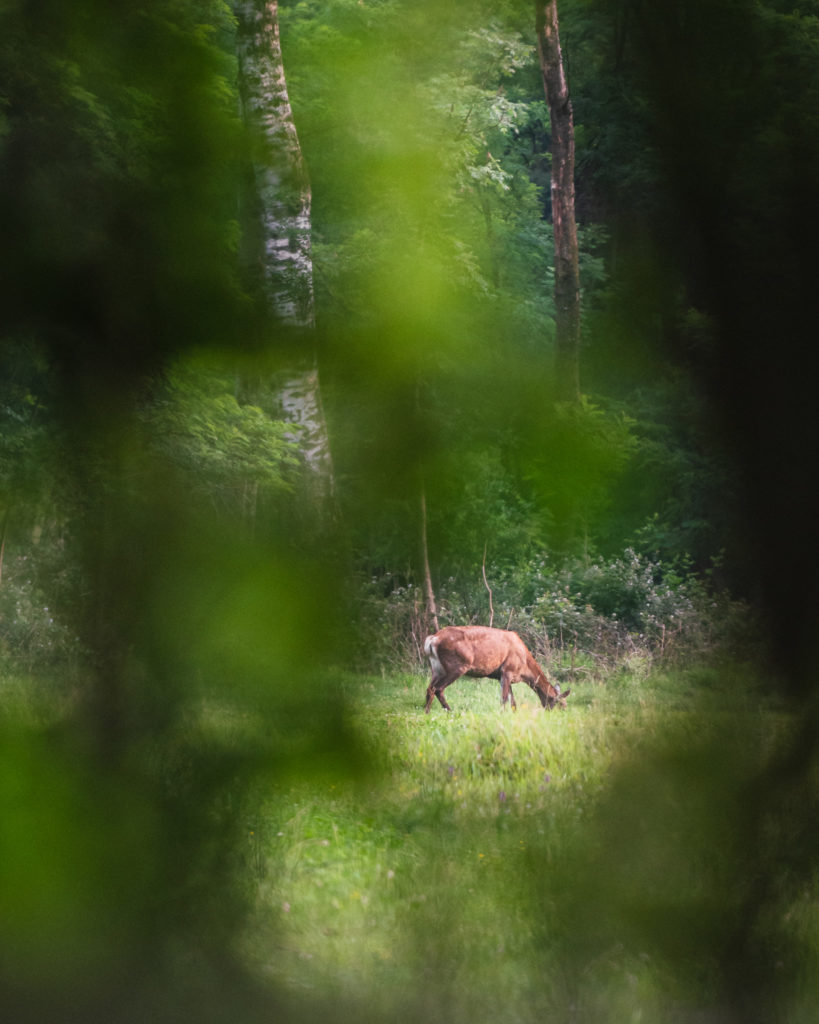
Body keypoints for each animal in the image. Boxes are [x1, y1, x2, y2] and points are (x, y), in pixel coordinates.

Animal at [421, 622, 569, 712]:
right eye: (561, 704)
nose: (562, 714)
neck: (524, 668)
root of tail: (432, 639)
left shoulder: (502, 676)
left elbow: (513, 702)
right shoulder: (508, 670)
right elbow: (504, 699)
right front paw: (501, 714)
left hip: (437, 668)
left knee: (429, 688)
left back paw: (427, 712)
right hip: (457, 666)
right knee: (437, 689)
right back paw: (448, 711)